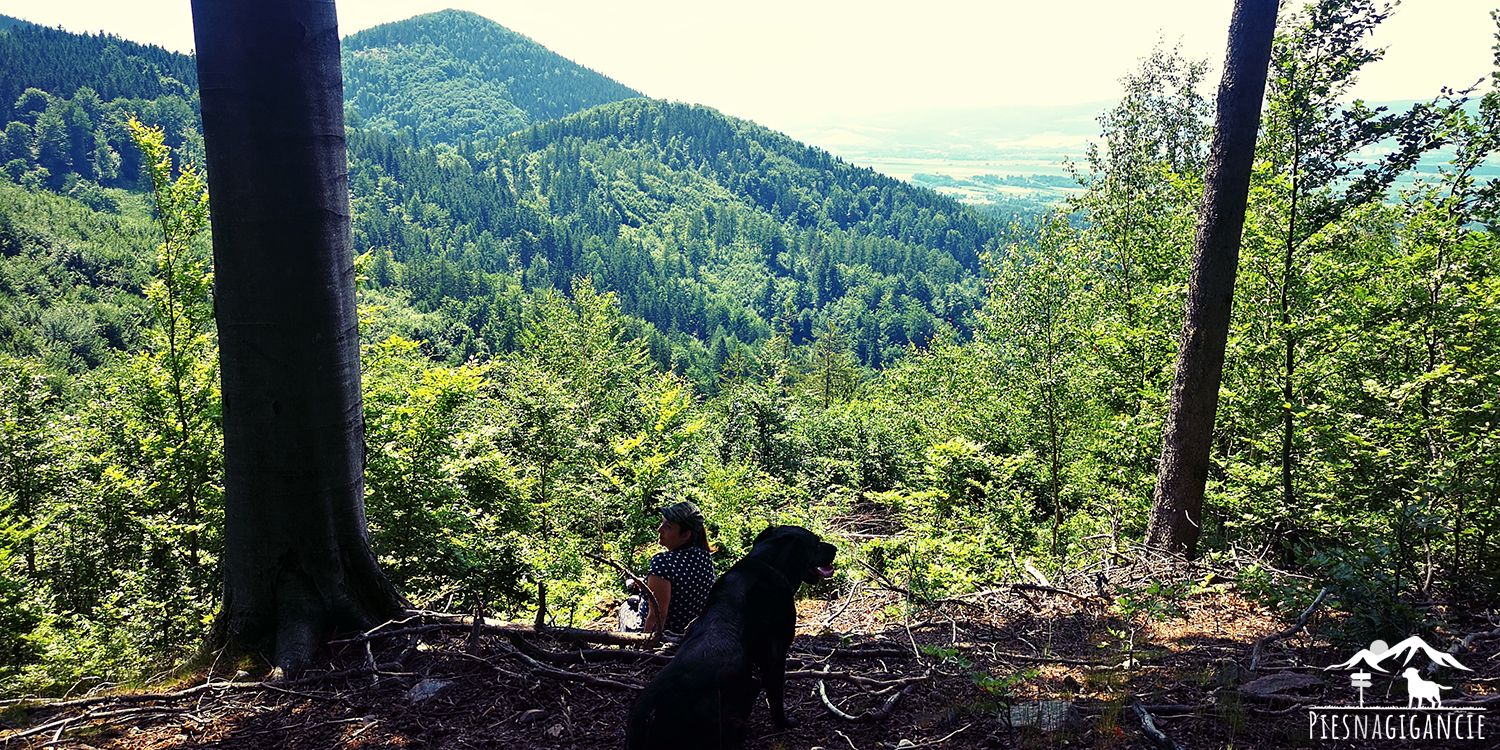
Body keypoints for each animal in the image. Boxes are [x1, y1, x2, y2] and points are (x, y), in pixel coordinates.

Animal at [624, 525, 846, 747]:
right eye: (816, 543)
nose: (835, 548)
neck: (768, 564)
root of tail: (650, 722)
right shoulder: (775, 657)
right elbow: (776, 698)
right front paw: (785, 722)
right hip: (734, 723)